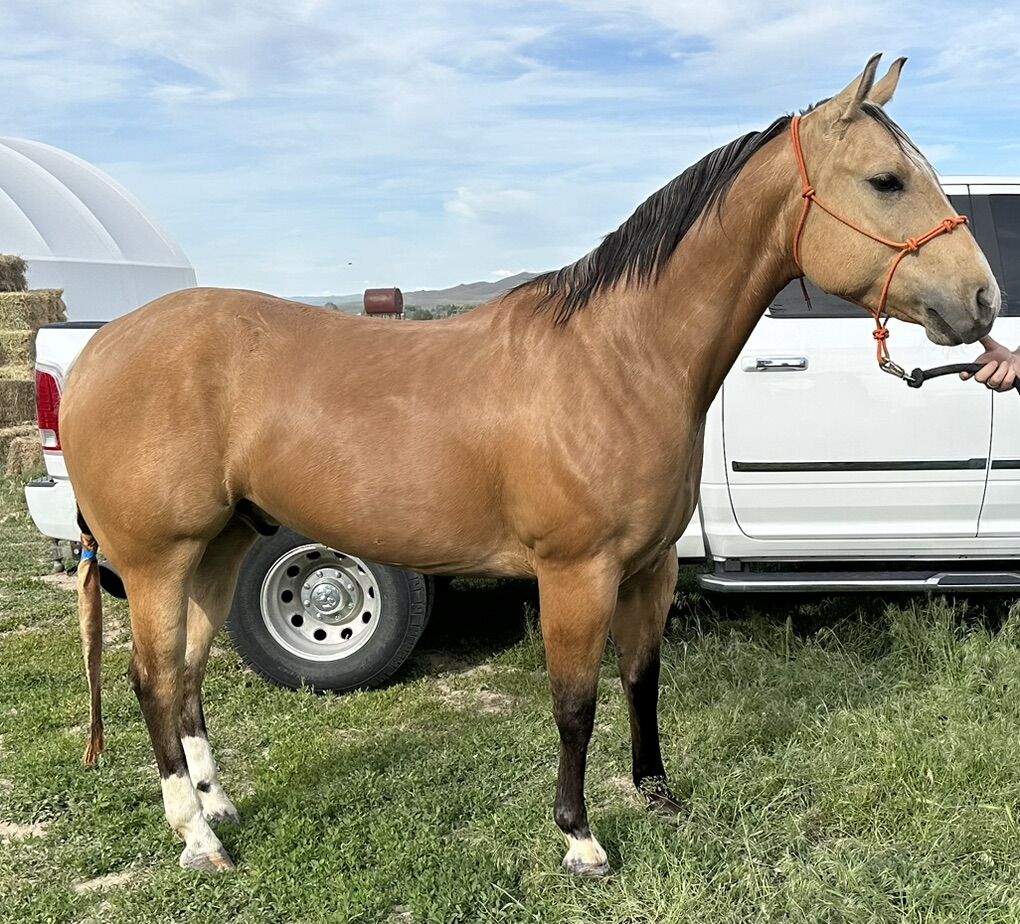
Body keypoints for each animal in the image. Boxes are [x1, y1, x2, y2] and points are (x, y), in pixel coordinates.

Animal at [60, 54, 1000, 876]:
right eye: (886, 180)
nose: (983, 301)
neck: (619, 357)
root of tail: (98, 351)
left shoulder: (650, 569)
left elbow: (641, 681)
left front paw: (657, 796)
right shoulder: (576, 573)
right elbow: (575, 704)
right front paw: (581, 839)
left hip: (217, 547)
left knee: (187, 676)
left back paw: (217, 806)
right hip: (158, 559)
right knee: (152, 679)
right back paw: (195, 838)